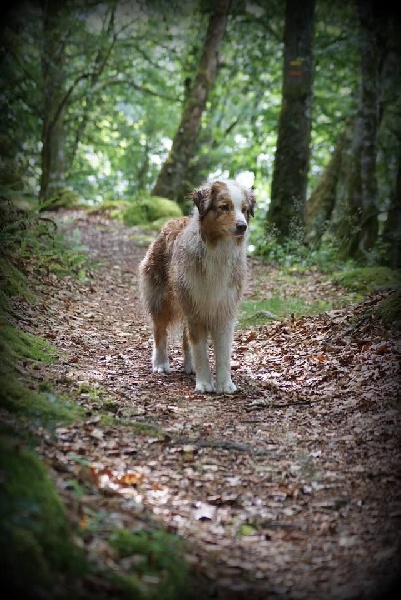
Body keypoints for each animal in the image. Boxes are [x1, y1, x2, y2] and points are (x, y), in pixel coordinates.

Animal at [138, 178, 255, 394]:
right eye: (224, 207)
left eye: (244, 209)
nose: (242, 226)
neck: (218, 251)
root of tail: (171, 222)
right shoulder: (195, 308)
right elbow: (200, 349)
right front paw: (204, 383)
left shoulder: (223, 310)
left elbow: (222, 353)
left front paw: (225, 384)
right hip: (161, 299)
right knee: (160, 332)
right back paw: (160, 363)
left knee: (186, 339)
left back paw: (189, 366)